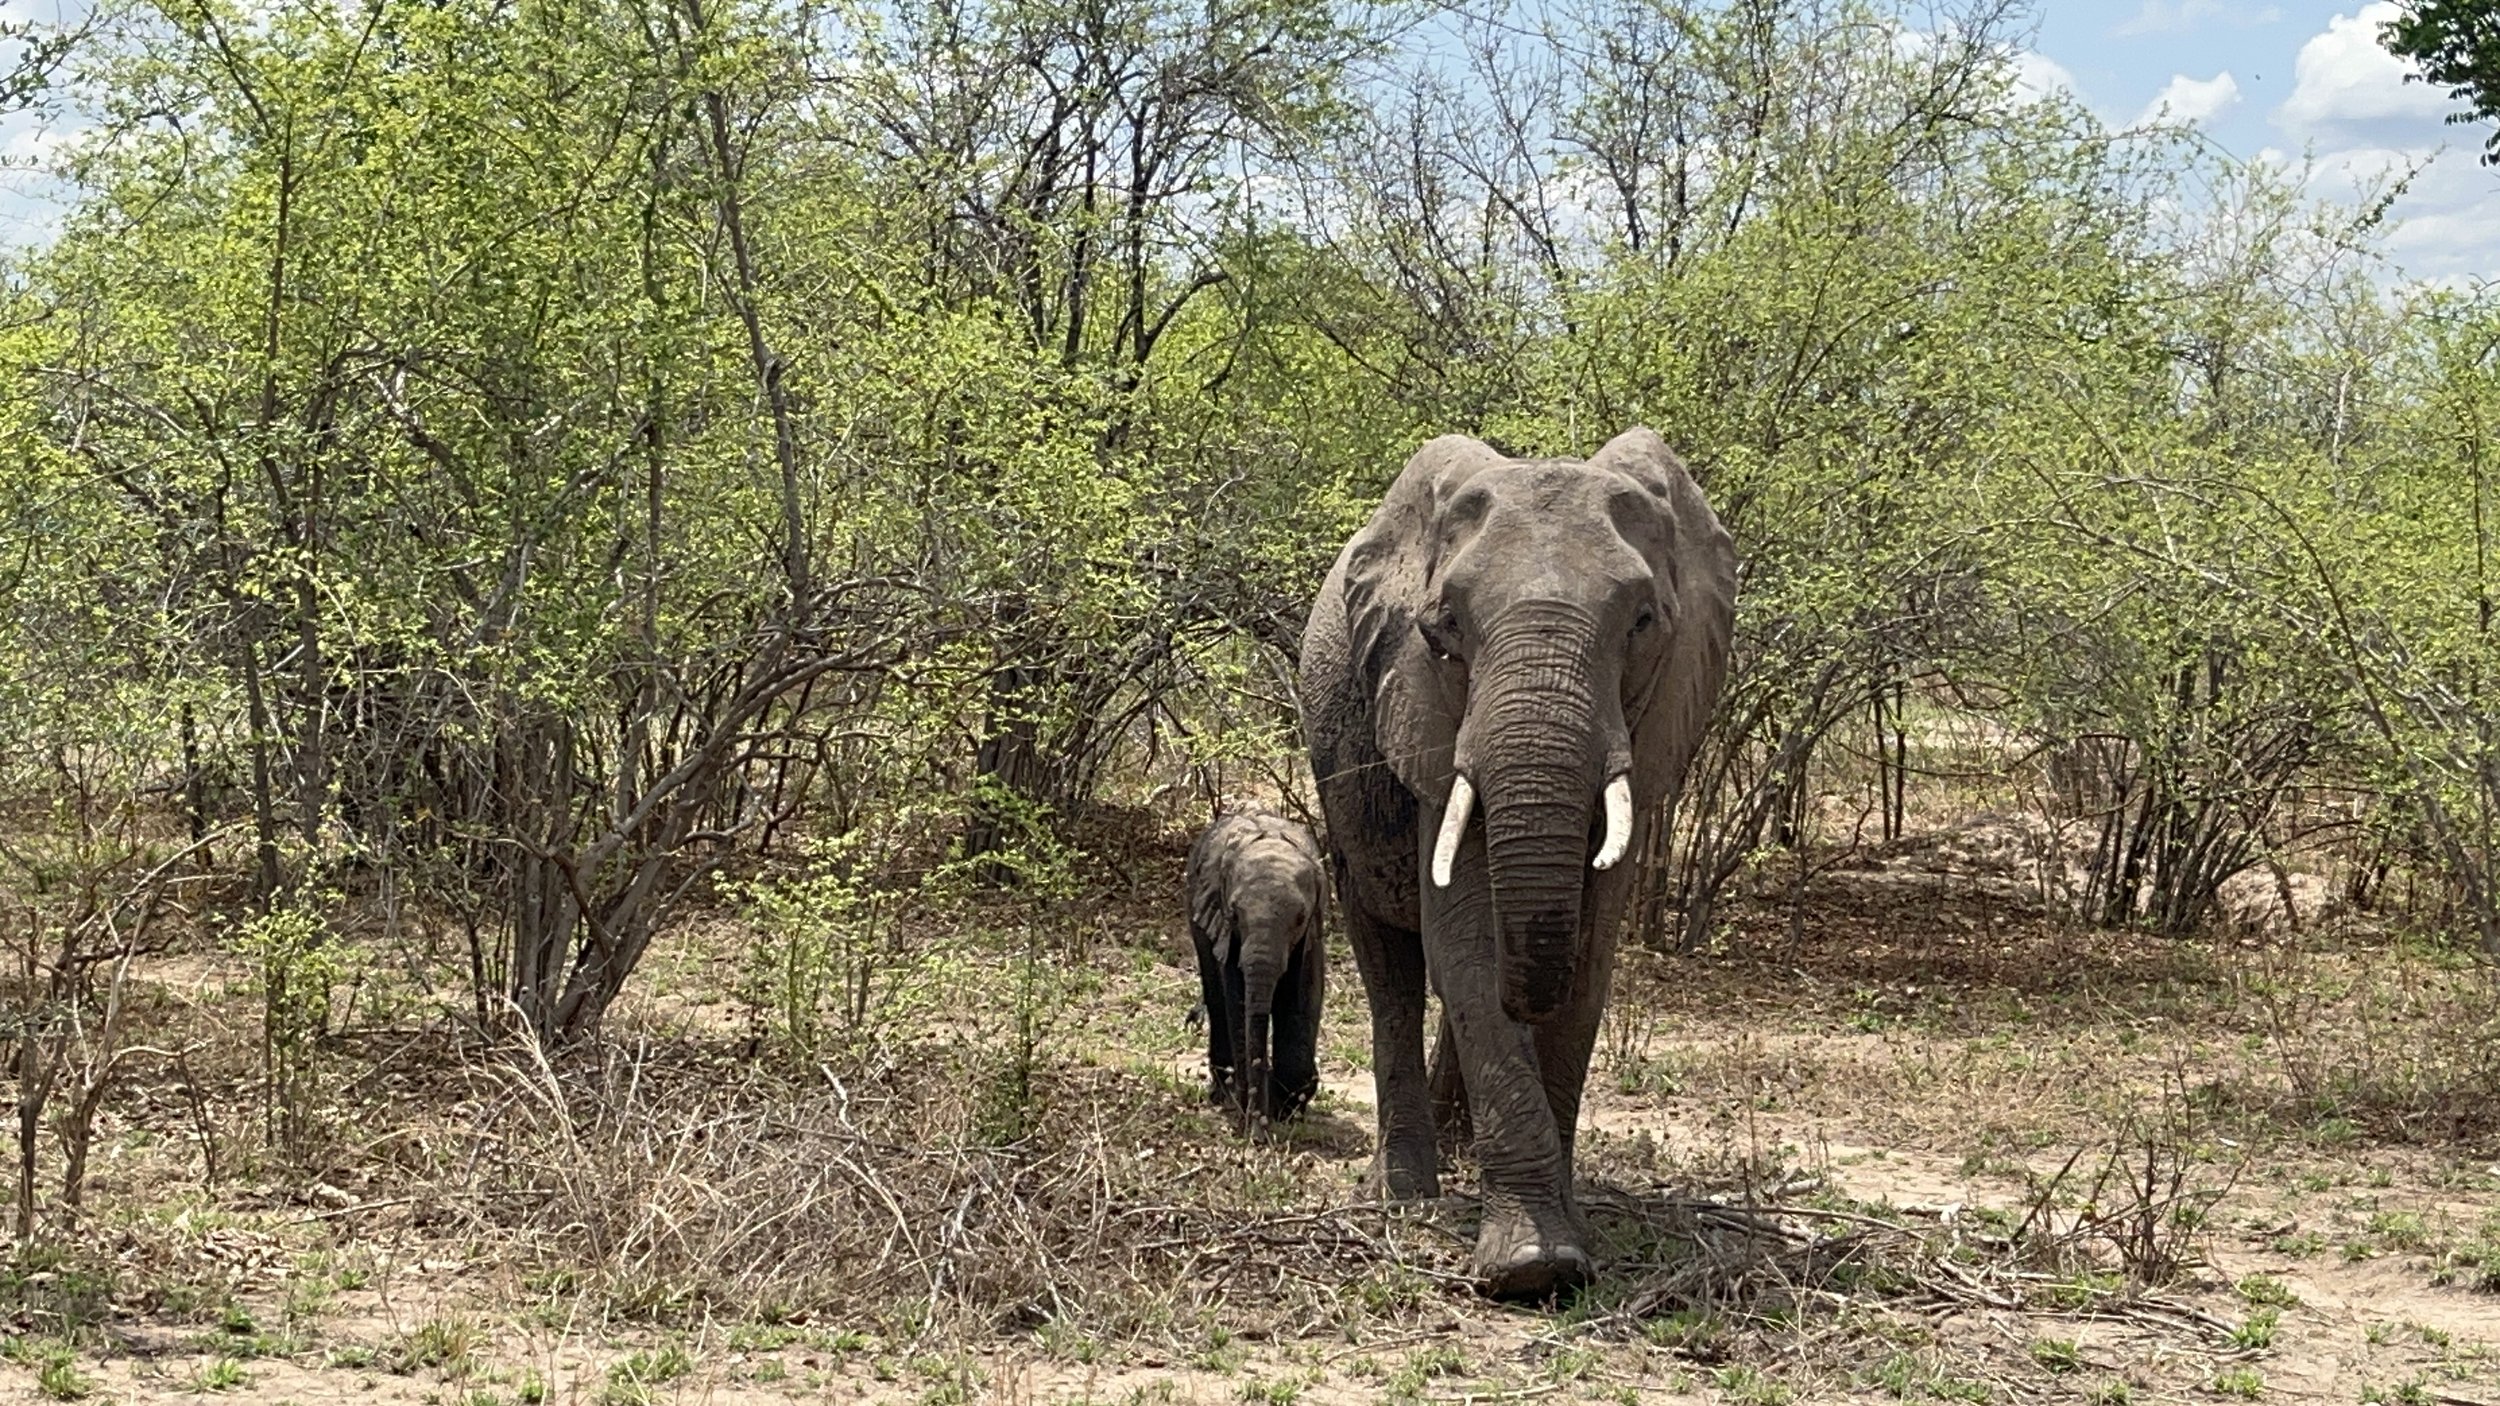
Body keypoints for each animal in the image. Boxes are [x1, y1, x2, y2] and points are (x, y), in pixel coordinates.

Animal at [1186, 806, 1327, 1123]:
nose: (1258, 1125)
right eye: (1235, 914)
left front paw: (1289, 1110)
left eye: (1300, 918)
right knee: (1215, 996)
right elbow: (1237, 1002)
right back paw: (1223, 1093)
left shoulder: (1311, 934)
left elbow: (1301, 996)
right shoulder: (1226, 928)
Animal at [1300, 427, 1735, 1299]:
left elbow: (1589, 951)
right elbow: (1465, 934)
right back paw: (1404, 1193)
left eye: (1643, 622)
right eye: (1444, 627)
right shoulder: (1422, 710)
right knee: (1392, 965)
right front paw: (1534, 1268)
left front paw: (1563, 1244)